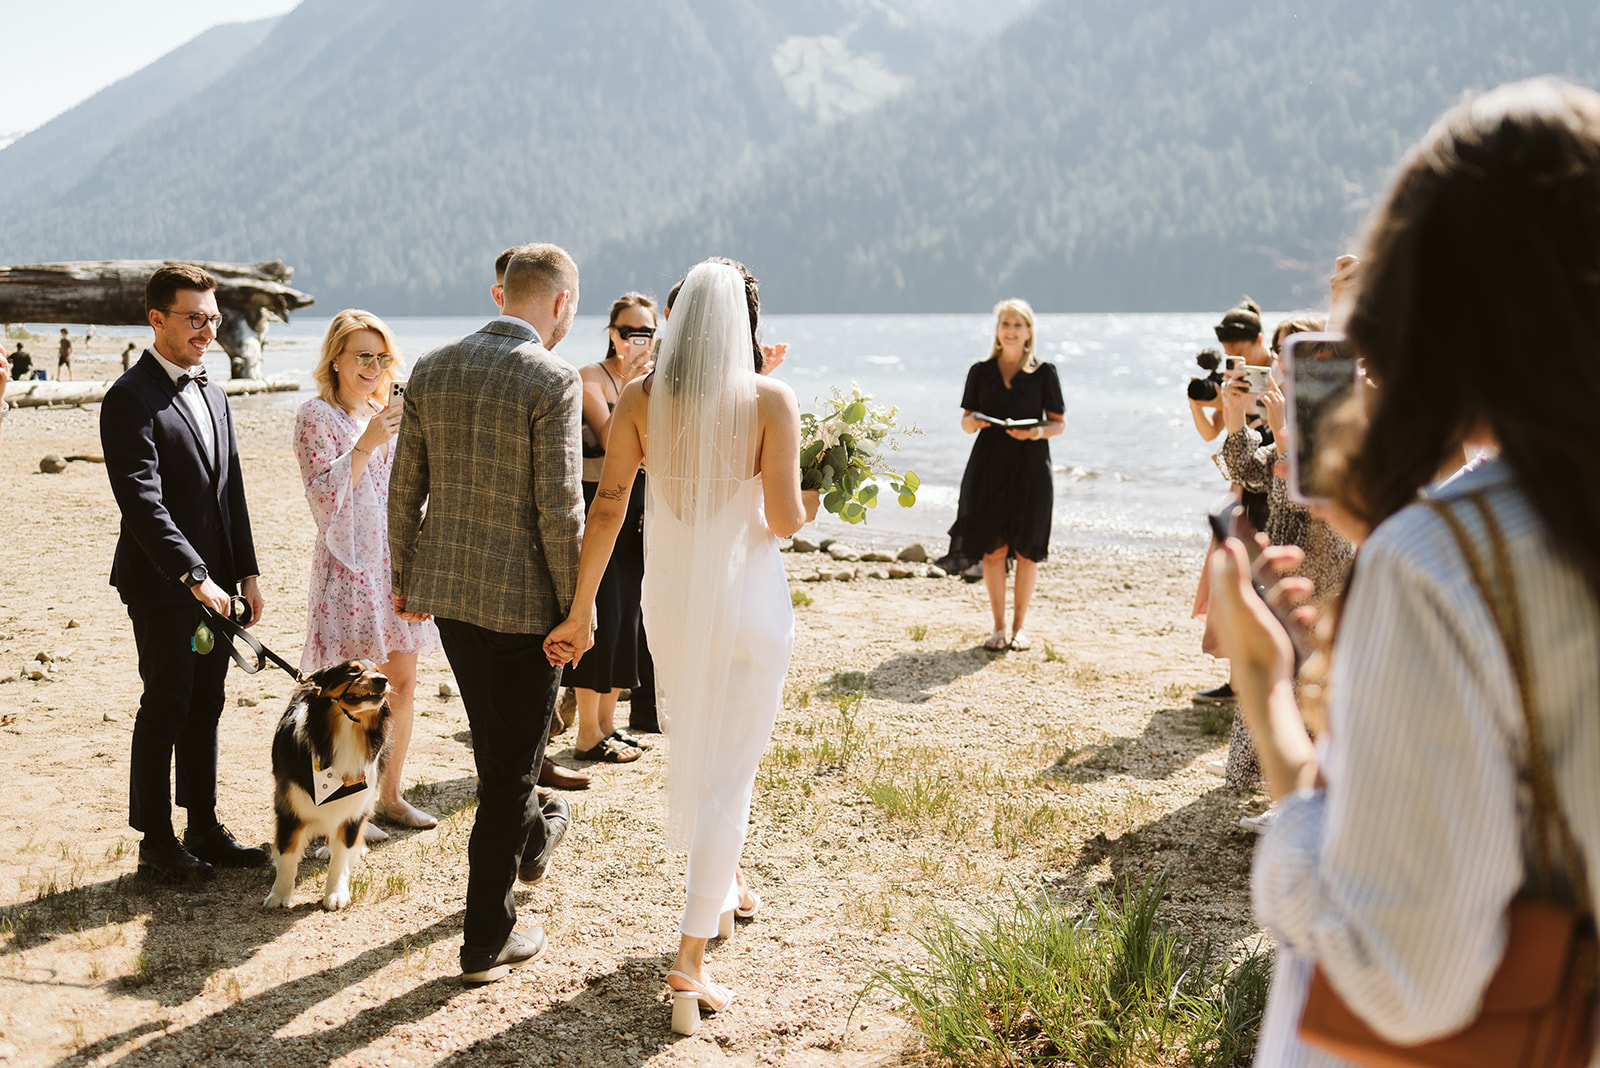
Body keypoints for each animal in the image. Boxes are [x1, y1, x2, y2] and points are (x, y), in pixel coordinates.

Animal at [262, 658, 390, 908]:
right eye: (352, 671)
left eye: (378, 671)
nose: (384, 680)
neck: (344, 733)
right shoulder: (290, 805)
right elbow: (288, 853)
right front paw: (279, 895)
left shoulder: (353, 809)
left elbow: (341, 855)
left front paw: (336, 893)